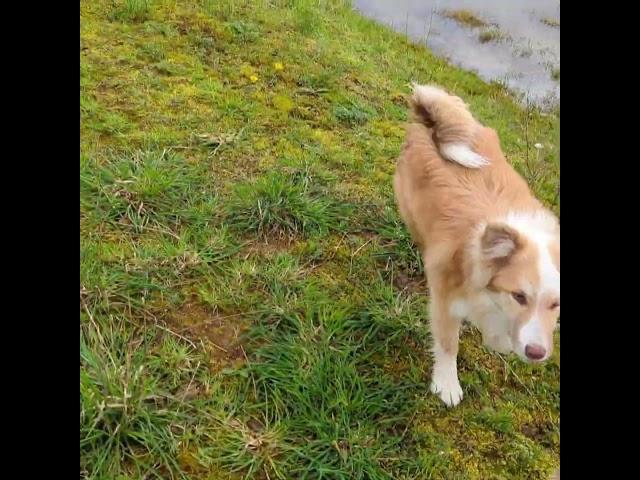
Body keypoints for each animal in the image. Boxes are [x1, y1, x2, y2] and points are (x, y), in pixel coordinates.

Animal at [396, 85, 560, 404]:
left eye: (556, 303)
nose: (536, 354)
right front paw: (446, 384)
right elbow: (448, 344)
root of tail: (434, 121)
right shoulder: (446, 300)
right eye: (519, 296)